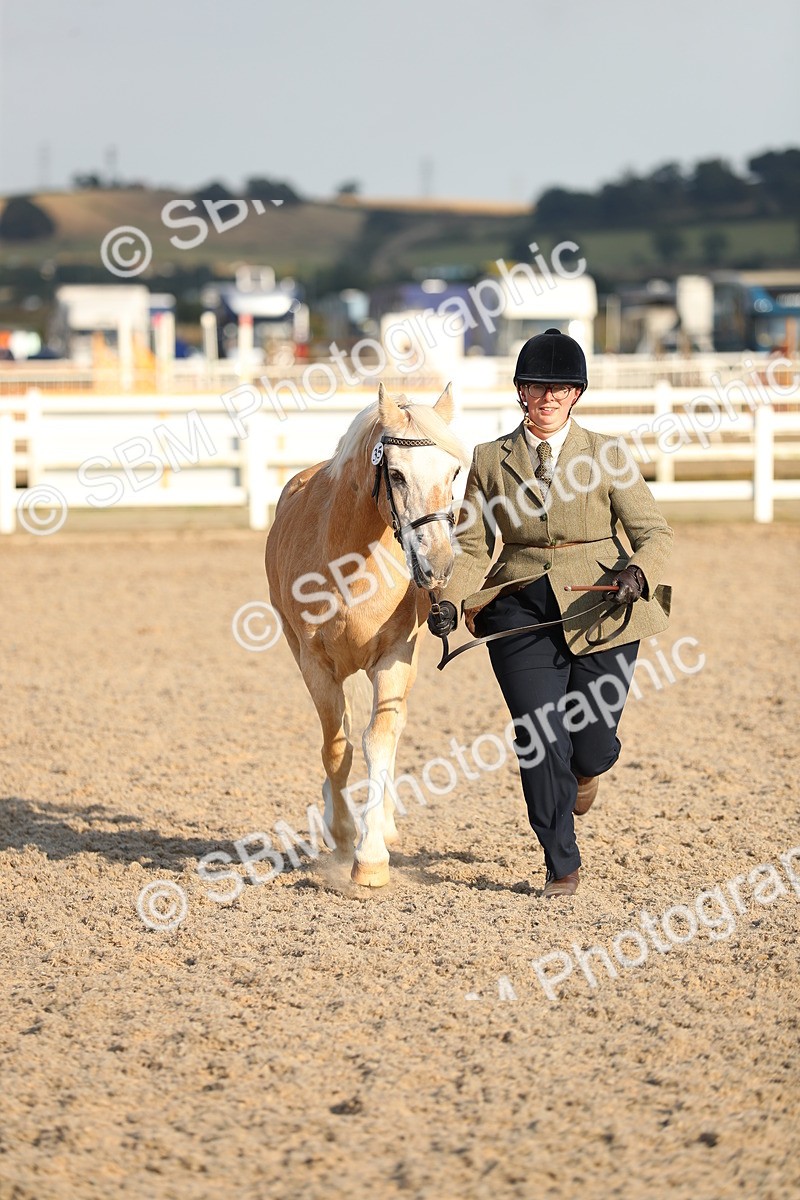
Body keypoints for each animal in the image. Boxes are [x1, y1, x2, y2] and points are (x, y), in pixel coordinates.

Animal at [265, 383, 469, 887]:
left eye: (454, 472)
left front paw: (371, 858)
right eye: (395, 474)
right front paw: (341, 836)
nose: (439, 565)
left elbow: (379, 739)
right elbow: (336, 748)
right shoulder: (316, 665)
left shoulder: (395, 658)